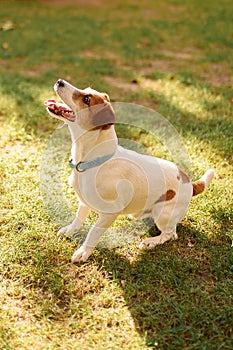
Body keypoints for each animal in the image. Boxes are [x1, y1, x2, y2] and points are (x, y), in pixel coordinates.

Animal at [44, 79, 216, 262]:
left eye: (86, 99)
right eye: (86, 91)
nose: (60, 81)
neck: (93, 160)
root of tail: (191, 183)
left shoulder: (109, 213)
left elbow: (93, 232)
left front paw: (84, 251)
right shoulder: (84, 202)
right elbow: (78, 219)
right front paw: (70, 230)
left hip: (163, 213)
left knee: (171, 234)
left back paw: (151, 242)